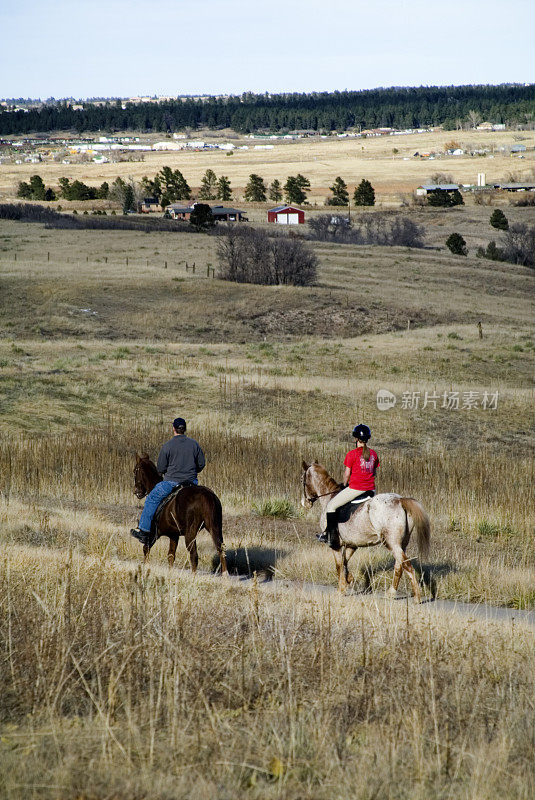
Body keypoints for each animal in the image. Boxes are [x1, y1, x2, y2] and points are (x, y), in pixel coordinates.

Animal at [302, 460, 432, 604]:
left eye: (302, 480)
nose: (305, 503)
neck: (329, 496)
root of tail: (400, 500)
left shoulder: (335, 545)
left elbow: (339, 565)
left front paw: (341, 590)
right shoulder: (352, 544)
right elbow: (345, 562)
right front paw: (349, 580)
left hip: (391, 543)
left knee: (407, 566)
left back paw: (417, 598)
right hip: (402, 543)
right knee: (399, 566)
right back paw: (390, 594)